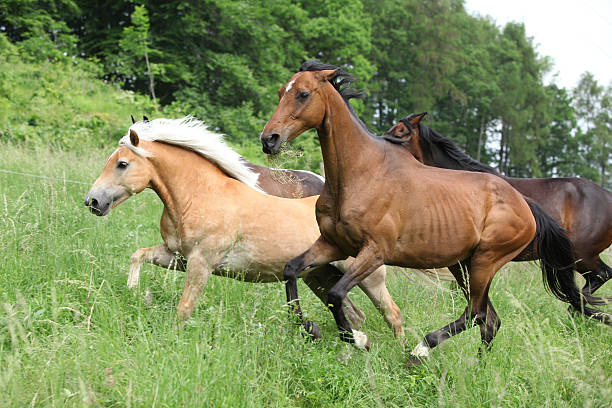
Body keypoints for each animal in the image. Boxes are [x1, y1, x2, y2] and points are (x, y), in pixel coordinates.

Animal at [83, 116, 404, 340]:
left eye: (122, 164)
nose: (92, 201)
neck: (199, 195)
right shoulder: (176, 256)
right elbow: (137, 255)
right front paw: (134, 292)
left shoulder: (201, 264)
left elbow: (184, 309)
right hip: (320, 276)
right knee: (355, 315)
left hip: (369, 277)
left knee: (393, 314)